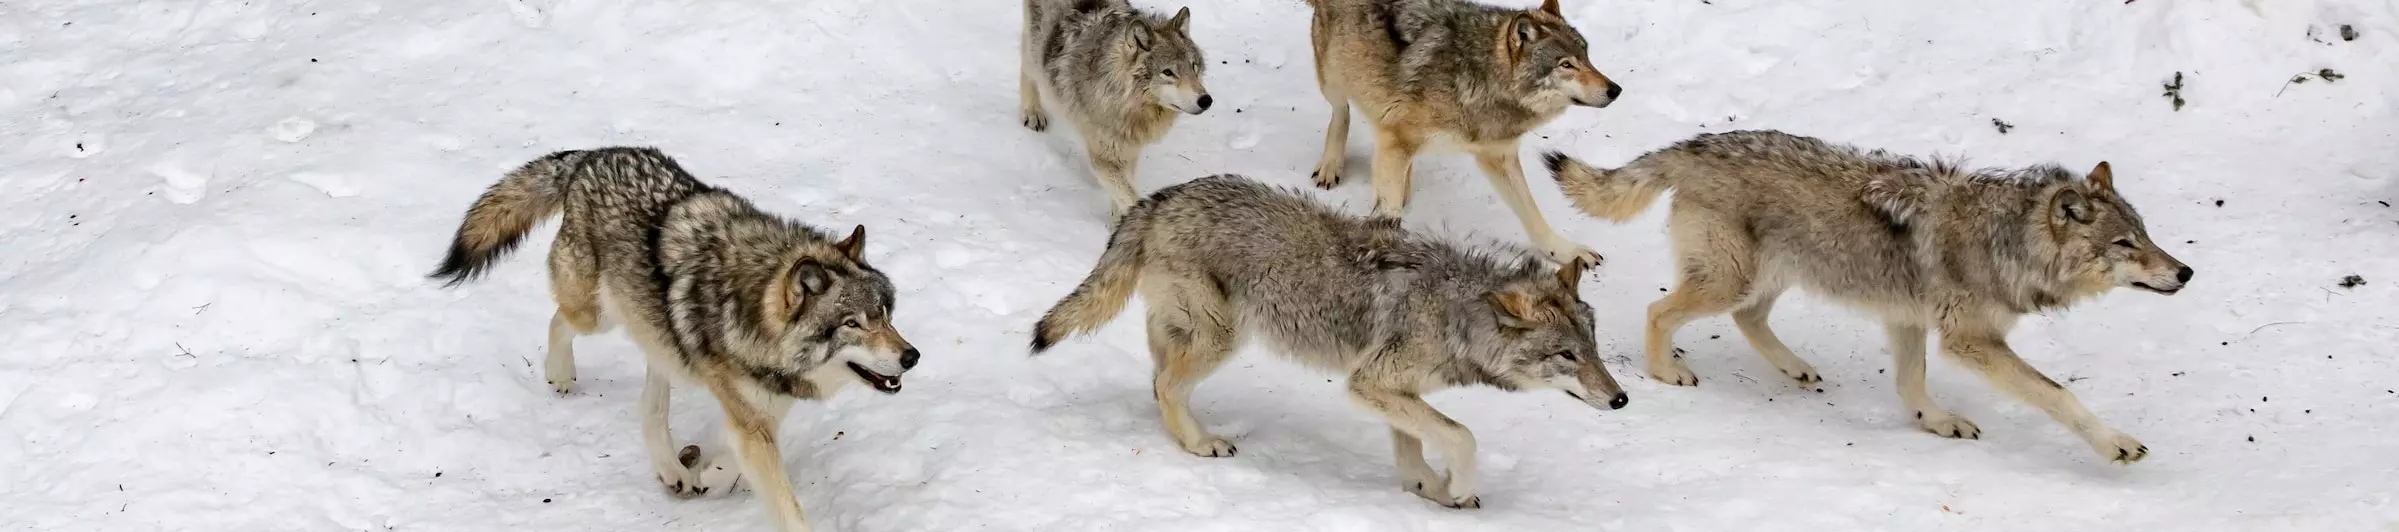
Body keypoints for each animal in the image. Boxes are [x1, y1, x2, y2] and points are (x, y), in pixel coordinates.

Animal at [427, 146, 921, 532]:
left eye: (884, 314)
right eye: (853, 324)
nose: (912, 356)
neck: (751, 313)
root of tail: (591, 156)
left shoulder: (761, 412)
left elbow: (731, 458)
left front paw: (708, 474)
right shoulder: (752, 421)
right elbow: (786, 505)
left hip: (657, 339)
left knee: (649, 407)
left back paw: (672, 470)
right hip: (596, 315)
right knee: (559, 321)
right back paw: (560, 375)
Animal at [1021, 0, 1218, 218]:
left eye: (1194, 67)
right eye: (1168, 72)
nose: (1206, 100)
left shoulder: (1129, 153)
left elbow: (1121, 198)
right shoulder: (1104, 159)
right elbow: (1131, 197)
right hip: (1036, 51)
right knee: (1025, 63)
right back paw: (1032, 112)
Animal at [1031, 174, 1631, 508]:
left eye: (1595, 348)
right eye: (1566, 355)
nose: (1622, 398)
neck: (1456, 313)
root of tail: (1161, 197)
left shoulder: (1393, 391)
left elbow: (1415, 446)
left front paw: (1431, 491)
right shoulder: (1370, 384)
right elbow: (1462, 436)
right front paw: (1457, 487)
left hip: (1193, 332)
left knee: (1156, 379)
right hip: (1221, 338)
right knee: (1165, 385)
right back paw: (1201, 443)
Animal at [1305, 0, 1621, 263]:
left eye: (1587, 57)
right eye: (1566, 65)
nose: (1615, 90)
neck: (1475, 78)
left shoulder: (1498, 156)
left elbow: (1532, 214)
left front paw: (1565, 252)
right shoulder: (1396, 140)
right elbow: (1389, 207)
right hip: (1333, 77)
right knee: (1341, 112)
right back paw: (1331, 166)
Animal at [1535, 131, 2197, 462]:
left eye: (2147, 235)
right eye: (2125, 244)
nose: (2187, 272)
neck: (2005, 242)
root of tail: (1693, 145)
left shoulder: (1908, 319)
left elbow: (1911, 384)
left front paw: (1936, 422)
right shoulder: (1970, 342)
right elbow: (2060, 396)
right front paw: (2115, 444)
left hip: (1771, 276)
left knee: (1749, 320)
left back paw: (1795, 368)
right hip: (1731, 279)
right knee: (1659, 311)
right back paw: (1665, 371)